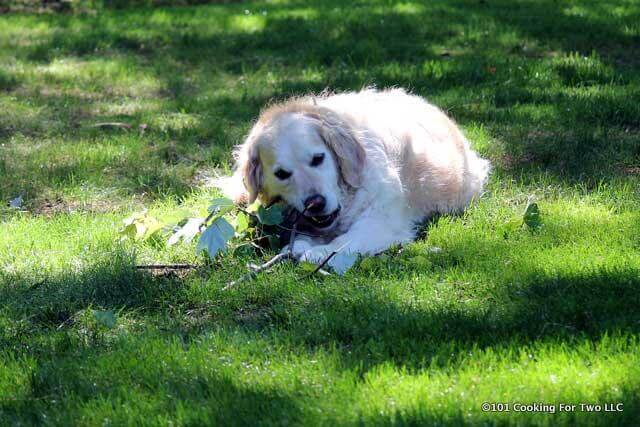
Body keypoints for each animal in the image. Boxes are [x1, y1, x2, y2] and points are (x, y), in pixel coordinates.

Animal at [216, 88, 490, 264]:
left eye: (318, 158)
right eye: (282, 174)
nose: (315, 203)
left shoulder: (380, 221)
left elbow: (345, 242)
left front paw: (317, 252)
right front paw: (304, 245)